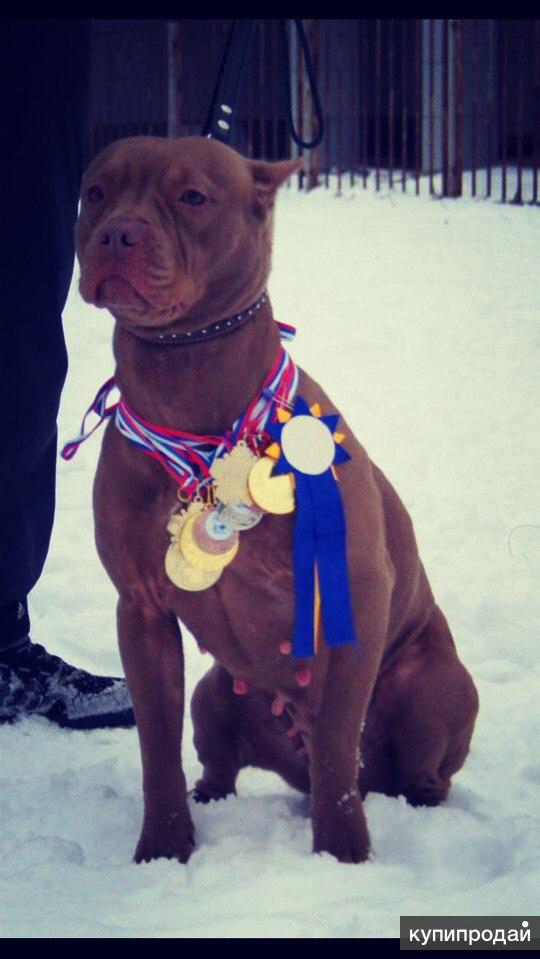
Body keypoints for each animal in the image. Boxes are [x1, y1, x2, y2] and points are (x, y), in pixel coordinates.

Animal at [75, 137, 476, 872]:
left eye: (193, 196)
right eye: (96, 193)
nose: (118, 233)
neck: (188, 394)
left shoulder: (354, 595)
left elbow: (338, 750)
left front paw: (344, 857)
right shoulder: (141, 611)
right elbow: (155, 749)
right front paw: (164, 849)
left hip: (433, 681)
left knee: (397, 769)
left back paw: (417, 803)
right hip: (214, 694)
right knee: (228, 759)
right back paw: (212, 794)